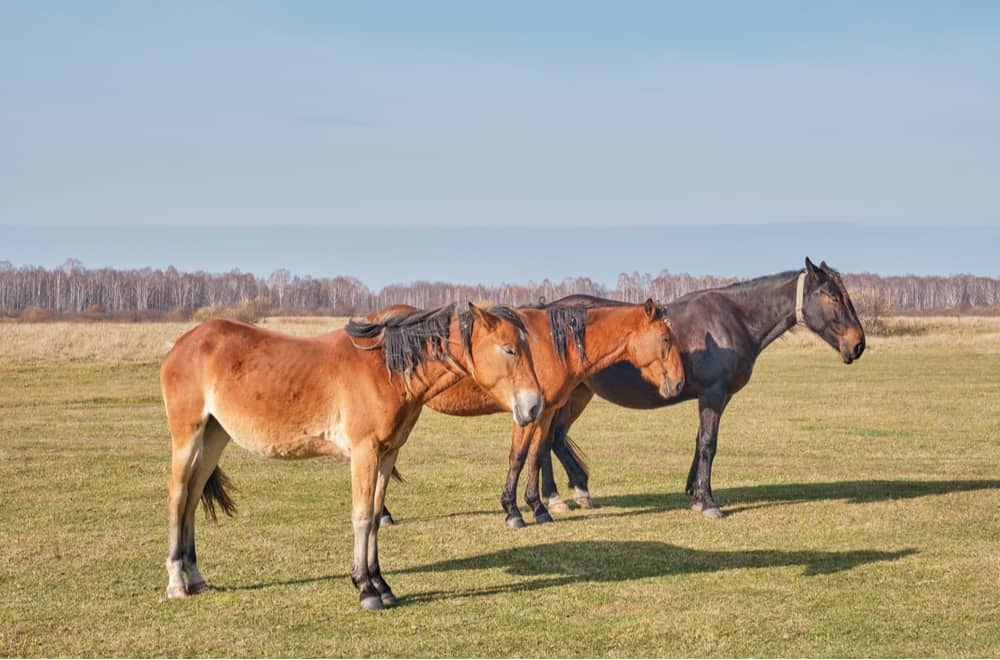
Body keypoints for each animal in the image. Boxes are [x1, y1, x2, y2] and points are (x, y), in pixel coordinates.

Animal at [159, 303, 542, 611]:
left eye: (528, 347)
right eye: (509, 349)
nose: (534, 406)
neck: (384, 370)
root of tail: (181, 344)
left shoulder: (387, 454)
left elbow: (374, 517)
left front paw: (381, 585)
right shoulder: (364, 452)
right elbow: (361, 517)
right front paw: (365, 590)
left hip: (214, 437)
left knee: (192, 499)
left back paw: (196, 577)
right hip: (187, 436)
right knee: (177, 497)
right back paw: (176, 582)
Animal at [373, 299, 686, 528]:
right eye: (665, 339)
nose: (679, 383)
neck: (552, 344)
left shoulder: (544, 412)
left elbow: (536, 455)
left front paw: (538, 507)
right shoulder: (525, 413)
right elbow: (518, 456)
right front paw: (513, 510)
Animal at [539, 258, 866, 519]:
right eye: (833, 297)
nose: (858, 344)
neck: (732, 320)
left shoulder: (718, 397)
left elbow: (700, 441)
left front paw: (695, 494)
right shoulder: (712, 394)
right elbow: (709, 443)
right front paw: (708, 503)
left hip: (579, 394)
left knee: (556, 438)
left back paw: (577, 491)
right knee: (546, 441)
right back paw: (554, 498)